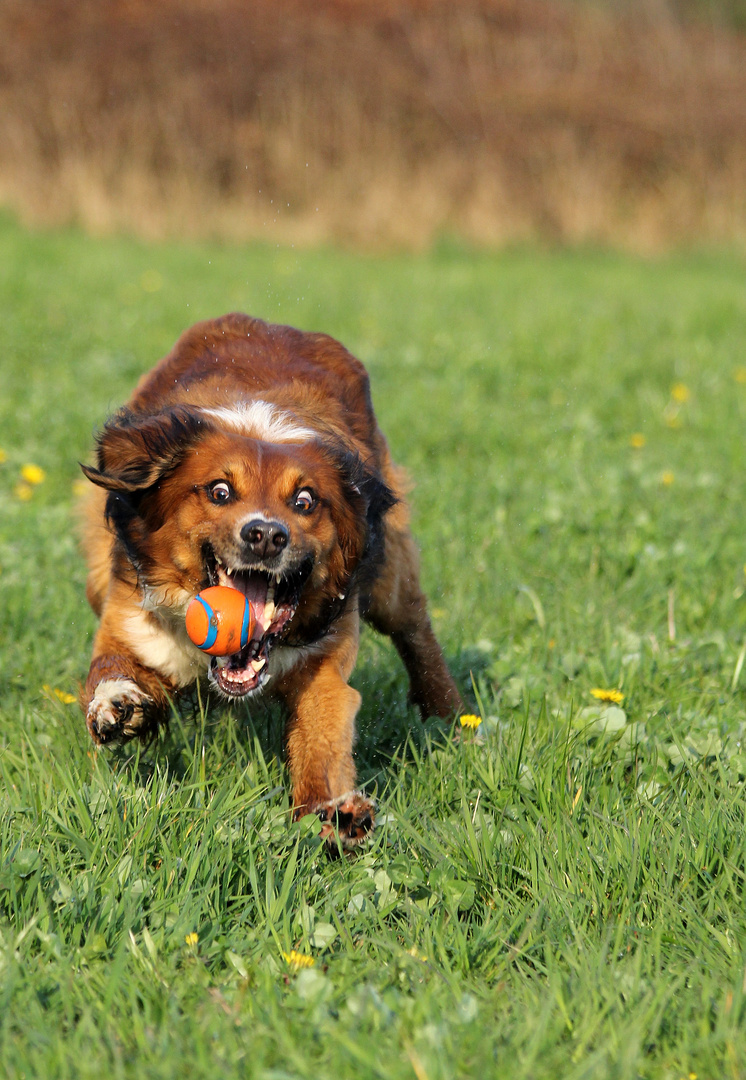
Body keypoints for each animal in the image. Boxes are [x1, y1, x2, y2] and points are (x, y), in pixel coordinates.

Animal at [81, 313, 462, 842]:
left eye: (304, 501)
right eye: (220, 491)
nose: (264, 535)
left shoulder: (324, 665)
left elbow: (322, 740)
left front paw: (334, 812)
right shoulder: (131, 621)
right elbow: (110, 666)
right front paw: (117, 705)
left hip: (390, 573)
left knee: (415, 630)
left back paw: (450, 717)